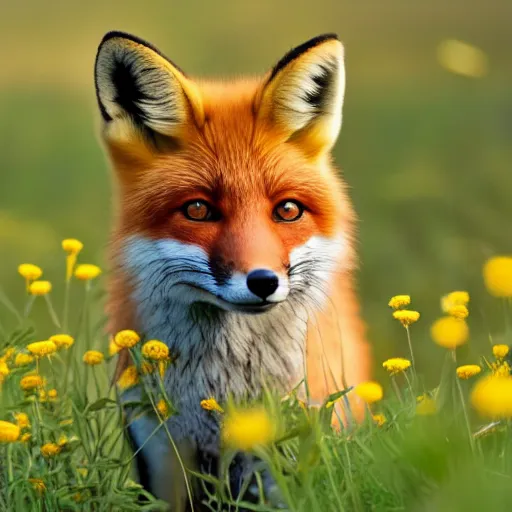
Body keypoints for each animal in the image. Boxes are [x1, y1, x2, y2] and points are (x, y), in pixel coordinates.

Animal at [94, 31, 370, 508]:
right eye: (198, 210)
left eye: (288, 210)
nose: (263, 281)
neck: (222, 391)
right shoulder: (158, 449)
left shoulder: (286, 453)